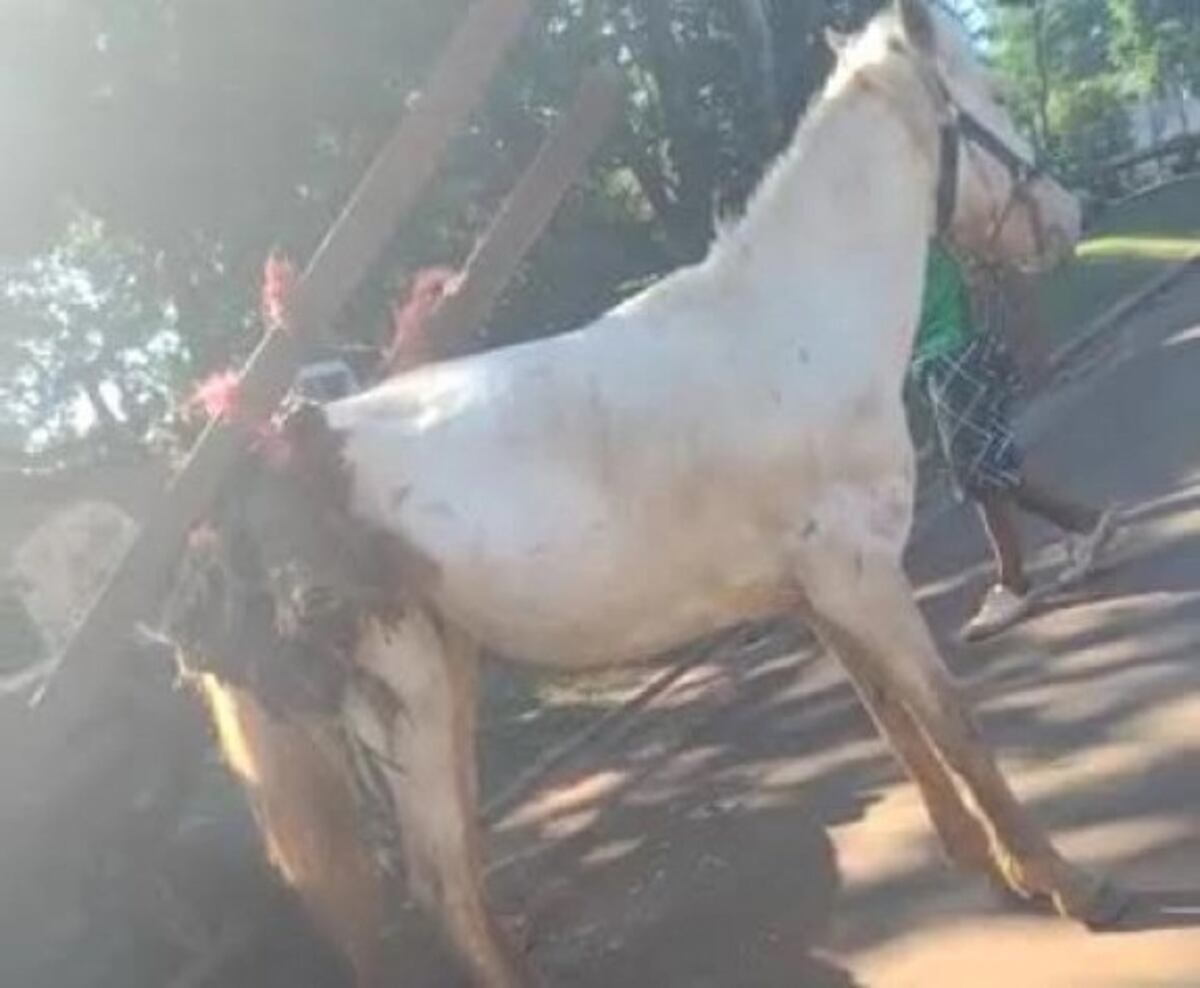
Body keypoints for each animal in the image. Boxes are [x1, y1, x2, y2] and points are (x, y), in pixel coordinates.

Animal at [164, 3, 1122, 985]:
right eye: (993, 94)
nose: (1067, 216)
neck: (791, 330)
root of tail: (245, 500)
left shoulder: (816, 593)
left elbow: (895, 724)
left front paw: (988, 863)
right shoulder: (861, 578)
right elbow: (952, 721)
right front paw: (1065, 882)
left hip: (444, 686)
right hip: (411, 706)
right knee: (441, 890)